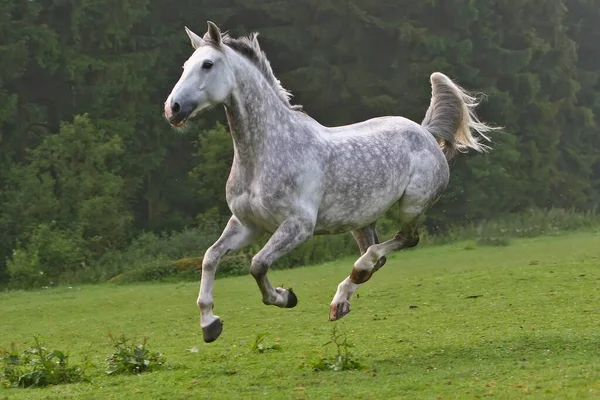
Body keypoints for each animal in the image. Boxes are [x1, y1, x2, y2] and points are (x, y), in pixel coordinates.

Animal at [163, 21, 496, 342]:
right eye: (185, 65)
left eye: (207, 64)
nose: (172, 108)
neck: (265, 153)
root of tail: (426, 132)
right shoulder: (247, 224)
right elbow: (210, 258)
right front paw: (210, 324)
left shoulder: (298, 227)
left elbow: (257, 264)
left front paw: (285, 297)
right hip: (362, 220)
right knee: (378, 256)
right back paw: (342, 301)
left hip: (412, 206)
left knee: (402, 241)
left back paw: (353, 278)